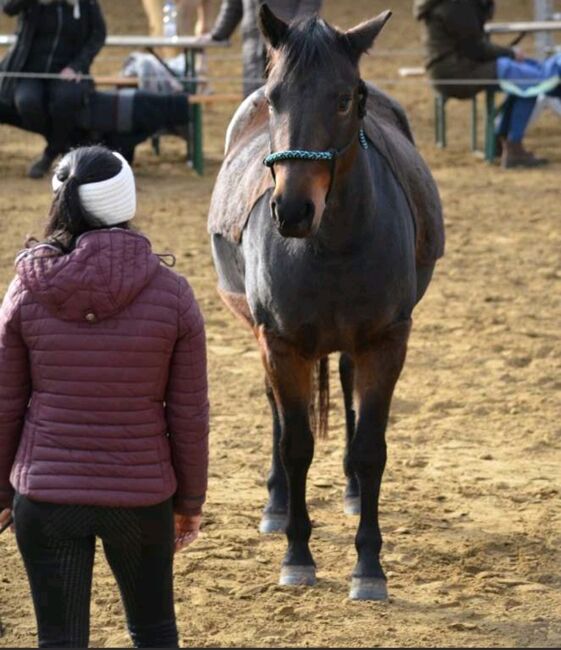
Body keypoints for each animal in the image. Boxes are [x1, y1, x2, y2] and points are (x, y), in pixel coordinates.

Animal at [208, 5, 444, 600]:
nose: (292, 209)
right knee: (276, 412)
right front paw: (297, 555)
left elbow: (370, 446)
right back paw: (275, 504)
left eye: (344, 98)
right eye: (275, 98)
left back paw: (354, 491)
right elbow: (295, 444)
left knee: (346, 392)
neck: (330, 244)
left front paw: (369, 566)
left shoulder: (386, 341)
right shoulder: (280, 343)